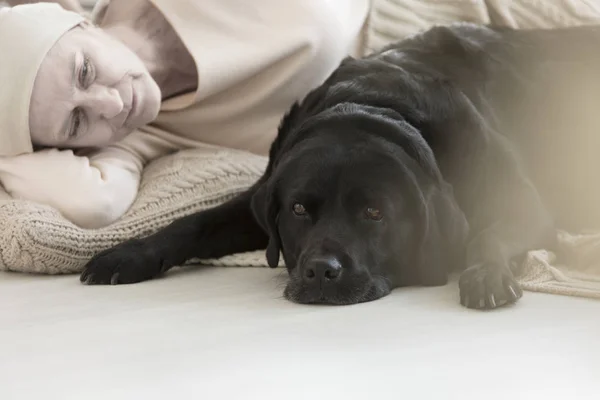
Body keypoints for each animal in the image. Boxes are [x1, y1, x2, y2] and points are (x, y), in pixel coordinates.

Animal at [79, 22, 600, 310]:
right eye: (298, 210)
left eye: (375, 213)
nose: (320, 272)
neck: (373, 102)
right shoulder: (263, 196)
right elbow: (193, 223)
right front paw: (127, 255)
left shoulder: (524, 207)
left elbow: (487, 236)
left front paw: (487, 275)